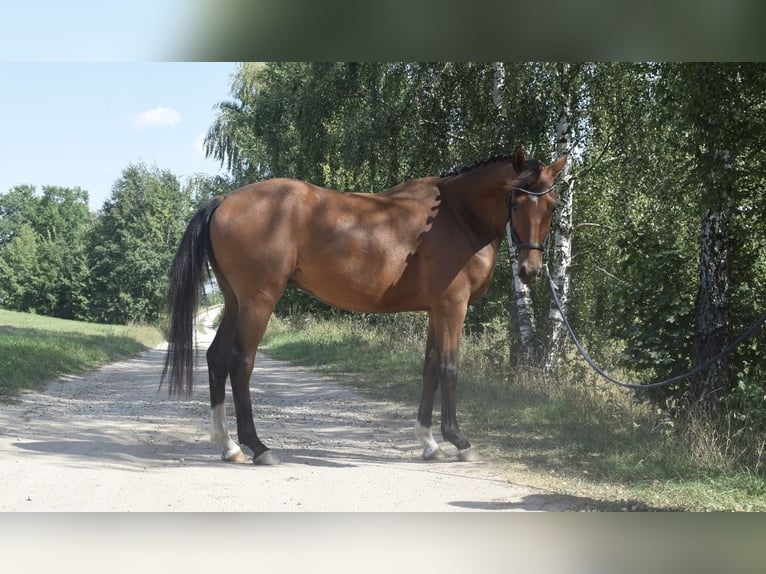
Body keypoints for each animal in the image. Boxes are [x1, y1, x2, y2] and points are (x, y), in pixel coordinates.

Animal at [165, 148, 568, 468]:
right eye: (516, 202)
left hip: (235, 301)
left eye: (551, 206)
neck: (455, 215)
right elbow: (449, 368)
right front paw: (459, 441)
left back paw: (228, 445)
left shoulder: (435, 310)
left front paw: (429, 443)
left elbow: (430, 368)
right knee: (240, 362)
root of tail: (223, 201)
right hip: (258, 302)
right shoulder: (453, 306)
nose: (530, 271)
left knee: (216, 358)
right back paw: (258, 447)